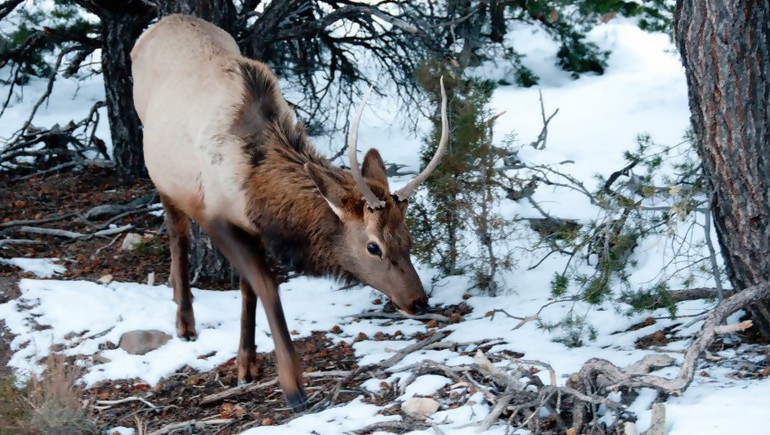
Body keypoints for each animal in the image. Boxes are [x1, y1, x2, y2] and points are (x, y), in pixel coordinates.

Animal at [130, 16, 448, 412]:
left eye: (408, 237)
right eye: (373, 246)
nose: (418, 301)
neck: (257, 190)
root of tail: (158, 25)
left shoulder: (252, 227)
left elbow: (248, 289)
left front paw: (247, 365)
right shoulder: (218, 220)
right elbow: (267, 285)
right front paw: (293, 386)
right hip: (160, 169)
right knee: (177, 233)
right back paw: (184, 321)